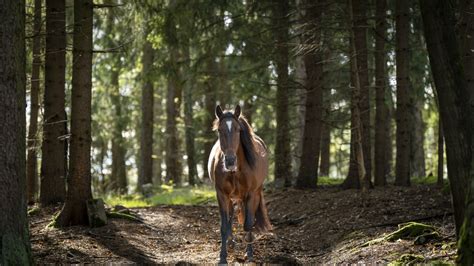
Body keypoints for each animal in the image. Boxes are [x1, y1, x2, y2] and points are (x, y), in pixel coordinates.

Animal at [207, 105, 270, 262]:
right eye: (219, 130)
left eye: (238, 129)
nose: (230, 161)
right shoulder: (222, 194)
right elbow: (224, 225)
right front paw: (223, 257)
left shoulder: (251, 194)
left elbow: (248, 224)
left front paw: (249, 253)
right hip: (232, 197)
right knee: (230, 215)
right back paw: (230, 243)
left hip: (254, 194)